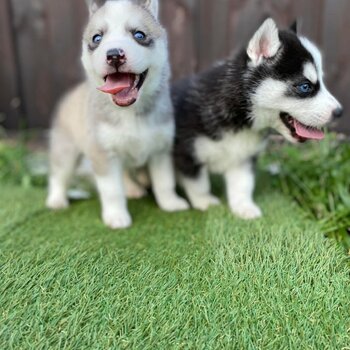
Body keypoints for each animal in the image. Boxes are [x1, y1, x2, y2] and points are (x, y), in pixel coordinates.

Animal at [47, 0, 189, 230]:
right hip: (65, 148)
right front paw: (116, 216)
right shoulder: (103, 153)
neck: (129, 112)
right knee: (59, 174)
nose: (113, 55)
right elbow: (112, 190)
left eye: (139, 35)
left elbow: (164, 181)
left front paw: (170, 203)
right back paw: (56, 200)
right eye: (97, 38)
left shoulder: (160, 150)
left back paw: (133, 188)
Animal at [174, 18, 344, 219]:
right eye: (305, 86)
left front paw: (244, 207)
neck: (243, 122)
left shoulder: (244, 157)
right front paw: (206, 202)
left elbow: (242, 184)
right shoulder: (186, 151)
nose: (340, 112)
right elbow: (198, 183)